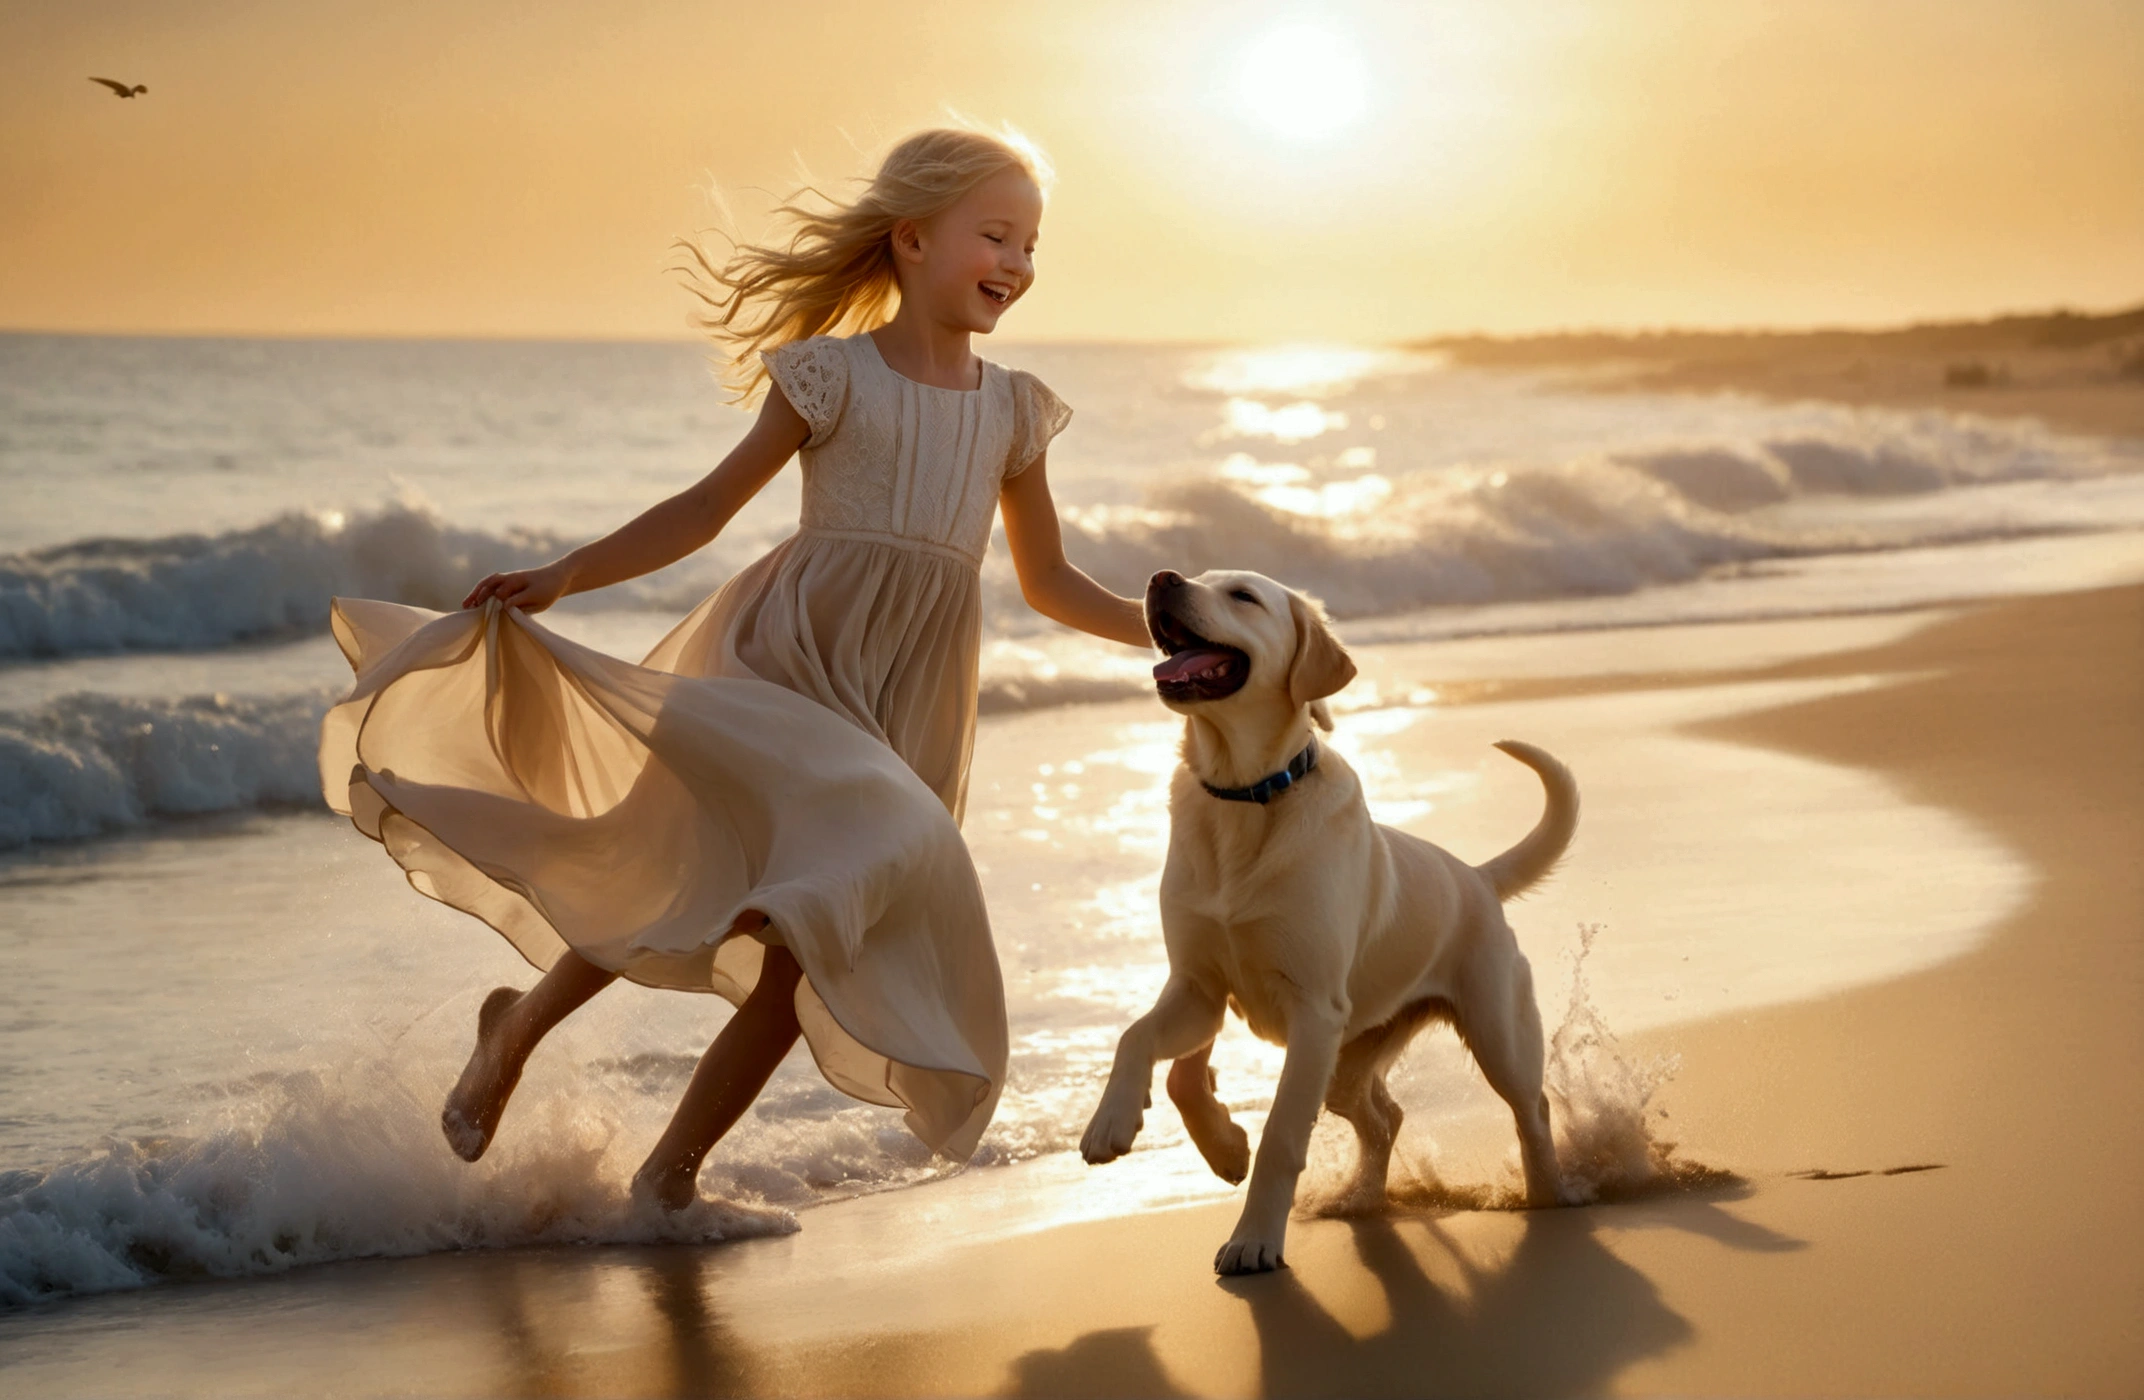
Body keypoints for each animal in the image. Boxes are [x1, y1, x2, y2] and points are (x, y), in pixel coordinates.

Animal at [1089, 566, 1577, 1269]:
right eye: (1195, 574)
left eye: (1242, 595)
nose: (1161, 577)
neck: (1245, 795)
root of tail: (1478, 877)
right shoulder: (1200, 988)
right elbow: (1139, 1040)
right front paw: (1119, 1125)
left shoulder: (1313, 1010)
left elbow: (1281, 1135)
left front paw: (1254, 1240)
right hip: (1347, 1059)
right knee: (1386, 1117)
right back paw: (1360, 1198)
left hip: (1494, 1031)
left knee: (1531, 1109)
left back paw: (1547, 1197)